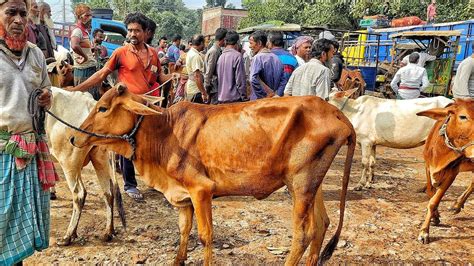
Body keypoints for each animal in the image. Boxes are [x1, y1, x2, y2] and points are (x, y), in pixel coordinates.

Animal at [44, 88, 125, 245]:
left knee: (79, 194)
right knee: (108, 192)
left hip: (68, 163)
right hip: (99, 159)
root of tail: (90, 103)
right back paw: (108, 232)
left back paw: (68, 236)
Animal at [70, 84, 356, 264]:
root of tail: (338, 114)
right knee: (322, 225)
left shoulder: (201, 190)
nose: (74, 137)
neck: (163, 131)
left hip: (300, 184)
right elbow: (184, 230)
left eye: (103, 108)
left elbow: (205, 235)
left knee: (303, 235)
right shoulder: (183, 197)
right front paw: (178, 260)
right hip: (311, 185)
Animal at [414, 98, 474, 244]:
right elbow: (430, 193)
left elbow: (434, 200)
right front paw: (435, 217)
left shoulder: (452, 173)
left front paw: (424, 232)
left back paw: (457, 204)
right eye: (462, 116)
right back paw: (457, 205)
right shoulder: (428, 166)